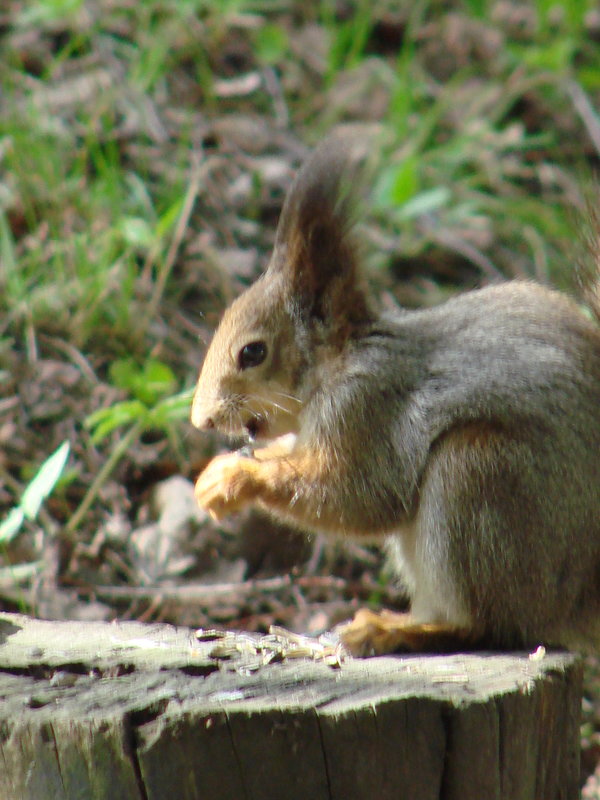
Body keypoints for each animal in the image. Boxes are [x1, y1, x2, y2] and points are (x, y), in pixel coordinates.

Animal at [191, 131, 600, 656]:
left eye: (253, 353)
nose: (201, 419)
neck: (339, 362)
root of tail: (576, 606)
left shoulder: (366, 408)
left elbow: (360, 495)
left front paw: (237, 478)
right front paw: (217, 474)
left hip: (478, 479)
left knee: (491, 625)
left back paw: (395, 629)